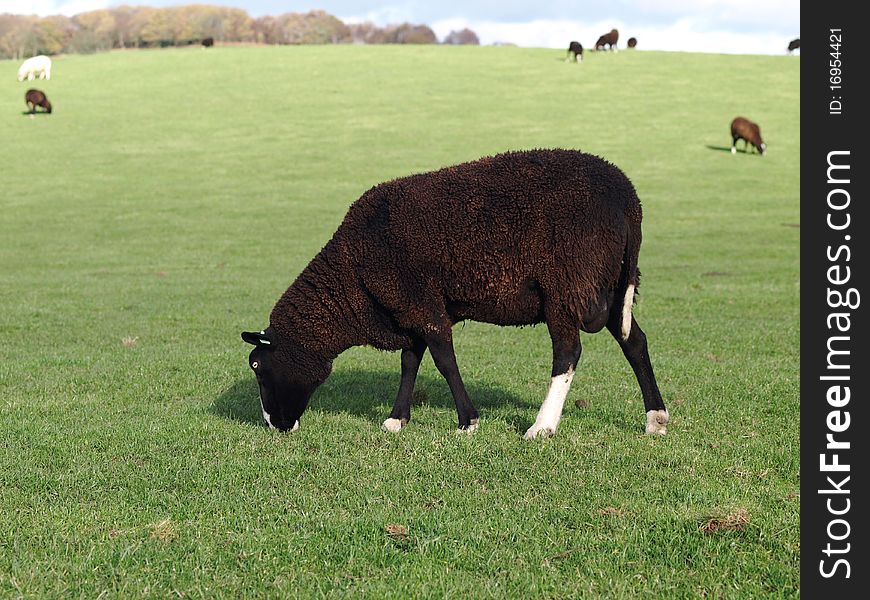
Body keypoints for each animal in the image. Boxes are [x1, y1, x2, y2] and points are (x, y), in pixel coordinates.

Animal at [242, 149, 672, 440]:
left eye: (257, 367)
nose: (273, 426)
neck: (351, 277)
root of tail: (629, 199)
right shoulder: (407, 308)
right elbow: (410, 362)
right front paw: (397, 419)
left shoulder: (421, 303)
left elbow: (444, 361)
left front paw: (468, 421)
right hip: (612, 287)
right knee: (635, 341)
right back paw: (656, 419)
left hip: (566, 287)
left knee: (568, 353)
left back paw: (542, 426)